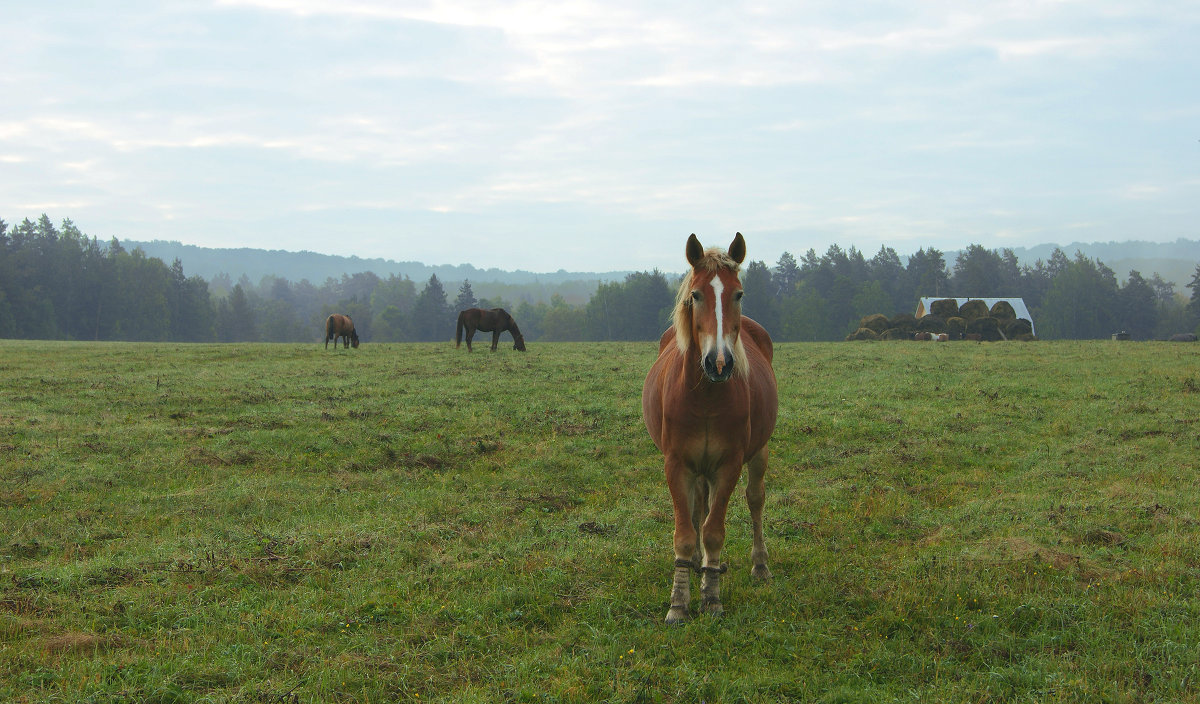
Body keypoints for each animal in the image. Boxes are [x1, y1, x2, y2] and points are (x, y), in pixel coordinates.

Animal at [643, 231, 782, 623]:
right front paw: (679, 602)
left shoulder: (728, 464)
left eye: (739, 294)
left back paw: (758, 566)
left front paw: (712, 597)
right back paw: (696, 566)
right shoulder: (677, 464)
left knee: (755, 499)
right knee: (696, 510)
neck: (705, 396)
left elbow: (714, 532)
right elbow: (686, 532)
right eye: (696, 294)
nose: (719, 363)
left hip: (758, 453)